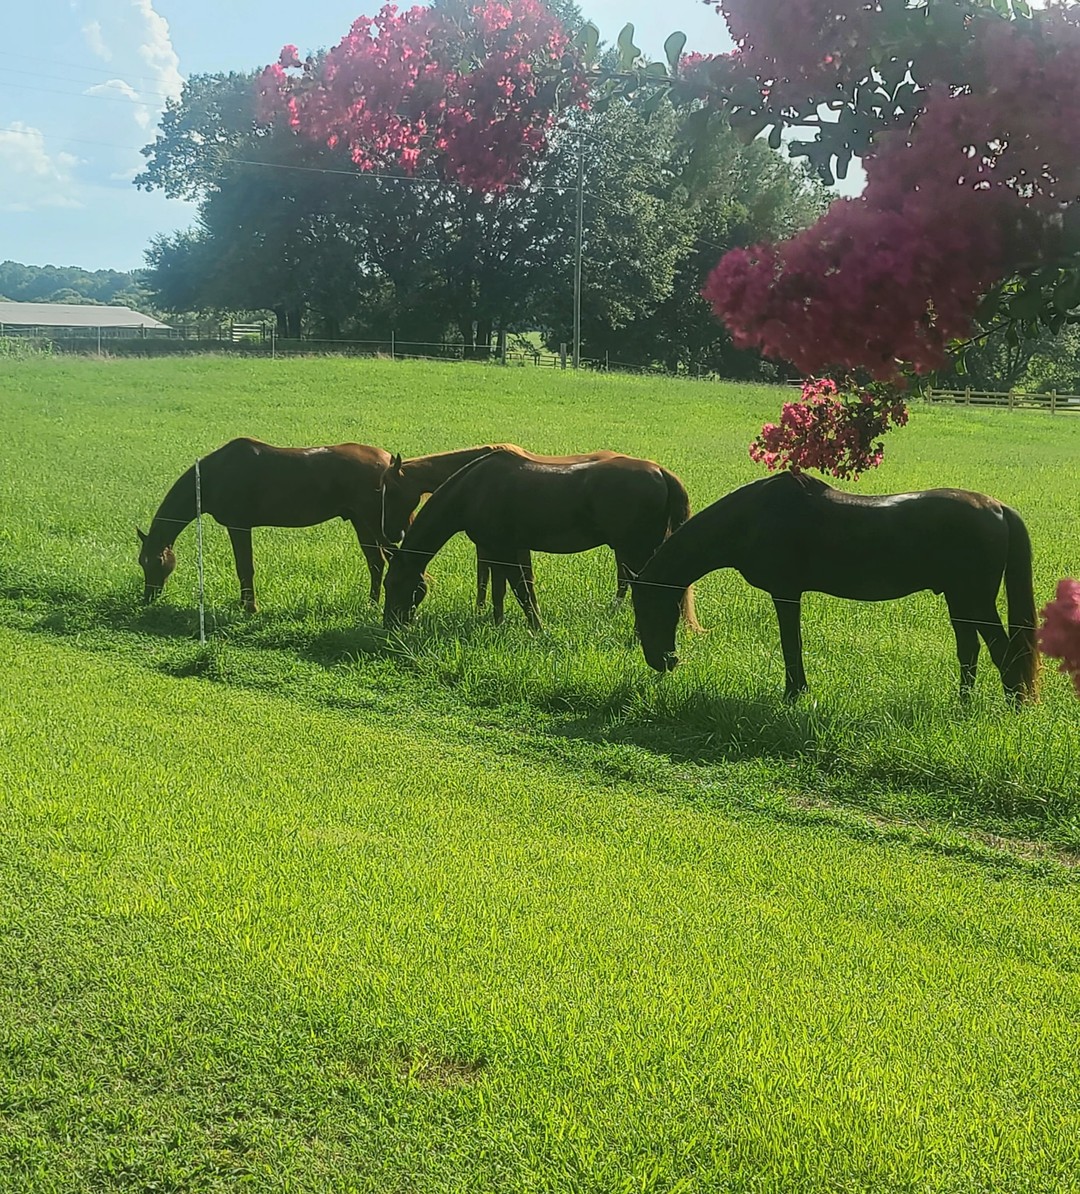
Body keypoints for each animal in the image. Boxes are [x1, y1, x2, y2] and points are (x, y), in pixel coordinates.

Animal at [137, 437, 403, 612]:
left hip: (376, 524)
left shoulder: (239, 526)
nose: (149, 596)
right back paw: (371, 605)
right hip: (361, 522)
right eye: (141, 561)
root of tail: (390, 461)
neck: (216, 474)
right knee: (376, 563)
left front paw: (250, 607)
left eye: (158, 561)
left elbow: (244, 567)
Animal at [630, 470, 1039, 704]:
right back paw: (964, 705)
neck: (752, 518)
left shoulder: (786, 592)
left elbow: (790, 643)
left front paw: (793, 693)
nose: (665, 662)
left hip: (975, 601)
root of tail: (997, 508)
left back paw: (1011, 708)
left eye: (647, 609)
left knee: (1004, 653)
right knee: (970, 652)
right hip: (960, 601)